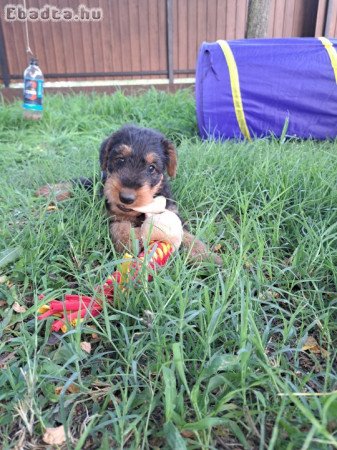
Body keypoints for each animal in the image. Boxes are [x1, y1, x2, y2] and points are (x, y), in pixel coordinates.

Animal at [37, 123, 220, 264]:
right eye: (120, 160)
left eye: (151, 168)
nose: (126, 198)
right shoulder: (111, 215)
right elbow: (120, 228)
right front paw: (131, 241)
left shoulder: (171, 211)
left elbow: (186, 234)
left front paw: (207, 256)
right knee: (80, 183)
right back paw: (48, 190)